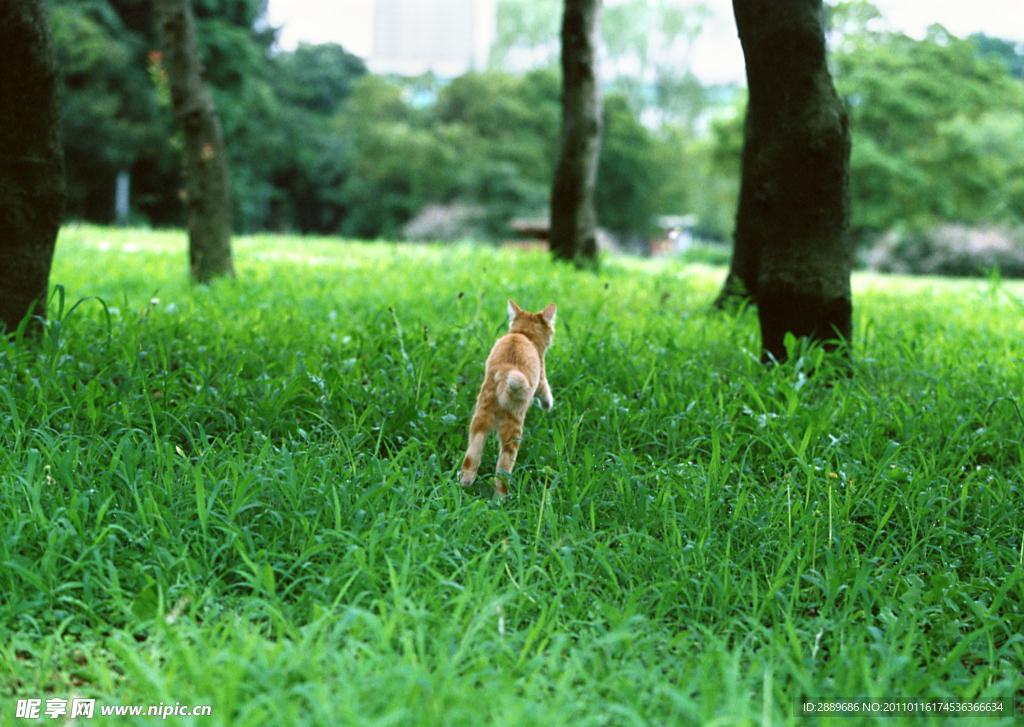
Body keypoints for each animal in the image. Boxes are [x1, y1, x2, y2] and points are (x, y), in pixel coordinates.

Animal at [460, 298, 557, 497]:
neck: (521, 334)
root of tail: (505, 373)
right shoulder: (541, 377)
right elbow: (546, 391)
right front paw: (548, 405)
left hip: (479, 422)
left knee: (471, 460)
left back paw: (465, 483)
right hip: (513, 431)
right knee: (502, 471)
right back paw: (502, 498)